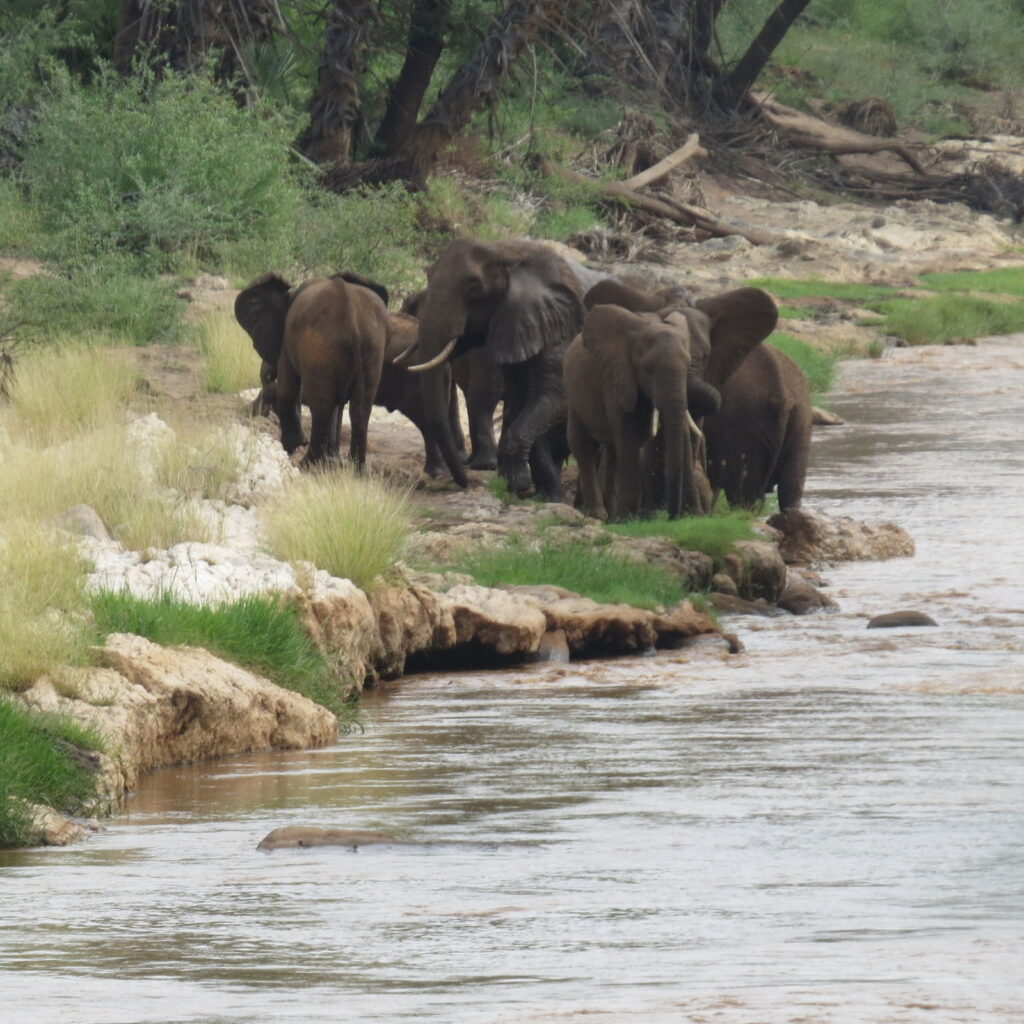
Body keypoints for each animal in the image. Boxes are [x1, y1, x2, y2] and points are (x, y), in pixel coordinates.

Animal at [234, 268, 389, 468]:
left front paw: (293, 446)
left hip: (319, 347)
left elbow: (287, 389)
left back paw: (305, 465)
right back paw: (356, 470)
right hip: (372, 347)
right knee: (360, 408)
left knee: (321, 405)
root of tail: (351, 317)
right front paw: (330, 460)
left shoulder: (288, 341)